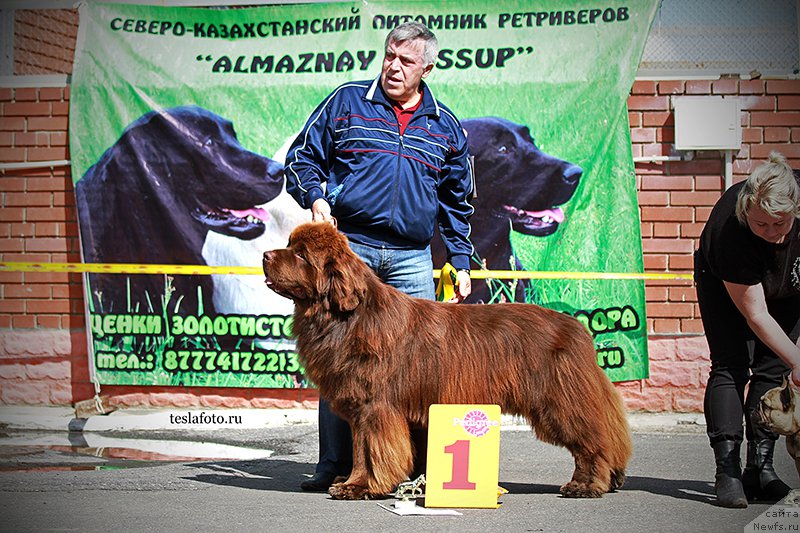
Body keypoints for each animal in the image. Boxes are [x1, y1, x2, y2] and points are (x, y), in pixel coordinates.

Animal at [262, 220, 632, 498]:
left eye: (301, 254)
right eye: (290, 244)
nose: (265, 254)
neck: (346, 316)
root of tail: (578, 328)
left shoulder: (374, 407)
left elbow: (370, 451)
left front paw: (358, 487)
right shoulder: (362, 408)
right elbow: (362, 449)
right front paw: (352, 483)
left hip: (560, 401)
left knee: (593, 441)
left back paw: (585, 485)